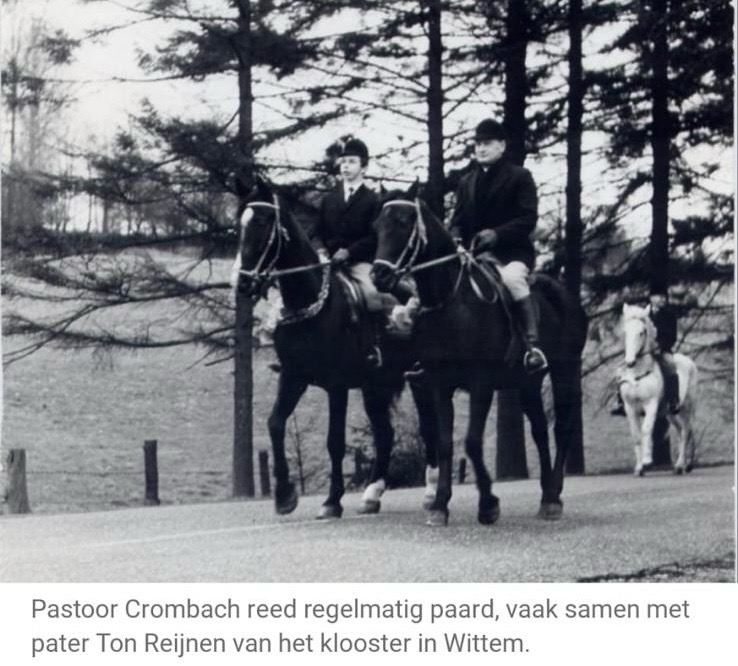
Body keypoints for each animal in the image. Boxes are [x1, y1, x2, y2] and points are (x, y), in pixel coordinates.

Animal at [231, 179, 439, 519]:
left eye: (261, 222)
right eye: (240, 225)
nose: (244, 283)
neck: (312, 302)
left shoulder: (336, 385)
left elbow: (334, 442)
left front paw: (331, 501)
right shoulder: (293, 377)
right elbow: (275, 423)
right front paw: (285, 495)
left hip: (418, 378)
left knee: (428, 426)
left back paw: (432, 490)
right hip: (375, 385)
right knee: (385, 433)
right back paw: (371, 495)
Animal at [371, 188, 588, 526]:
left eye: (404, 224)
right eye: (377, 227)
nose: (378, 275)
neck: (451, 301)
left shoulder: (480, 383)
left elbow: (472, 442)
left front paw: (488, 504)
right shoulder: (438, 384)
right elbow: (445, 443)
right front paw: (440, 505)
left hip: (566, 371)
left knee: (561, 428)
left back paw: (553, 497)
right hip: (527, 383)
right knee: (539, 430)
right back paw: (546, 493)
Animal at [618, 303, 699, 476]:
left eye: (641, 332)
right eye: (625, 331)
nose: (629, 362)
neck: (638, 373)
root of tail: (688, 361)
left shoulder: (651, 405)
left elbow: (646, 430)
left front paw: (647, 462)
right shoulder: (629, 408)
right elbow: (636, 435)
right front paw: (639, 468)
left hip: (687, 407)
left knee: (686, 431)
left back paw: (683, 465)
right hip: (671, 413)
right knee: (681, 431)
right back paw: (681, 465)